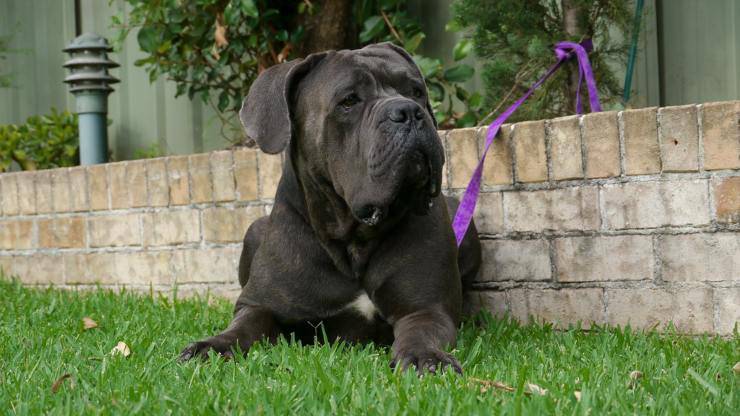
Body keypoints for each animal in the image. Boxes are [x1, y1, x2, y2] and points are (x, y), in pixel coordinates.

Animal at [178, 42, 480, 374]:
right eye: (348, 101)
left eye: (416, 91)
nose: (409, 111)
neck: (353, 238)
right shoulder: (258, 304)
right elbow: (243, 326)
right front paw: (211, 346)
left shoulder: (426, 308)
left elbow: (421, 331)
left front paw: (425, 357)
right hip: (253, 230)